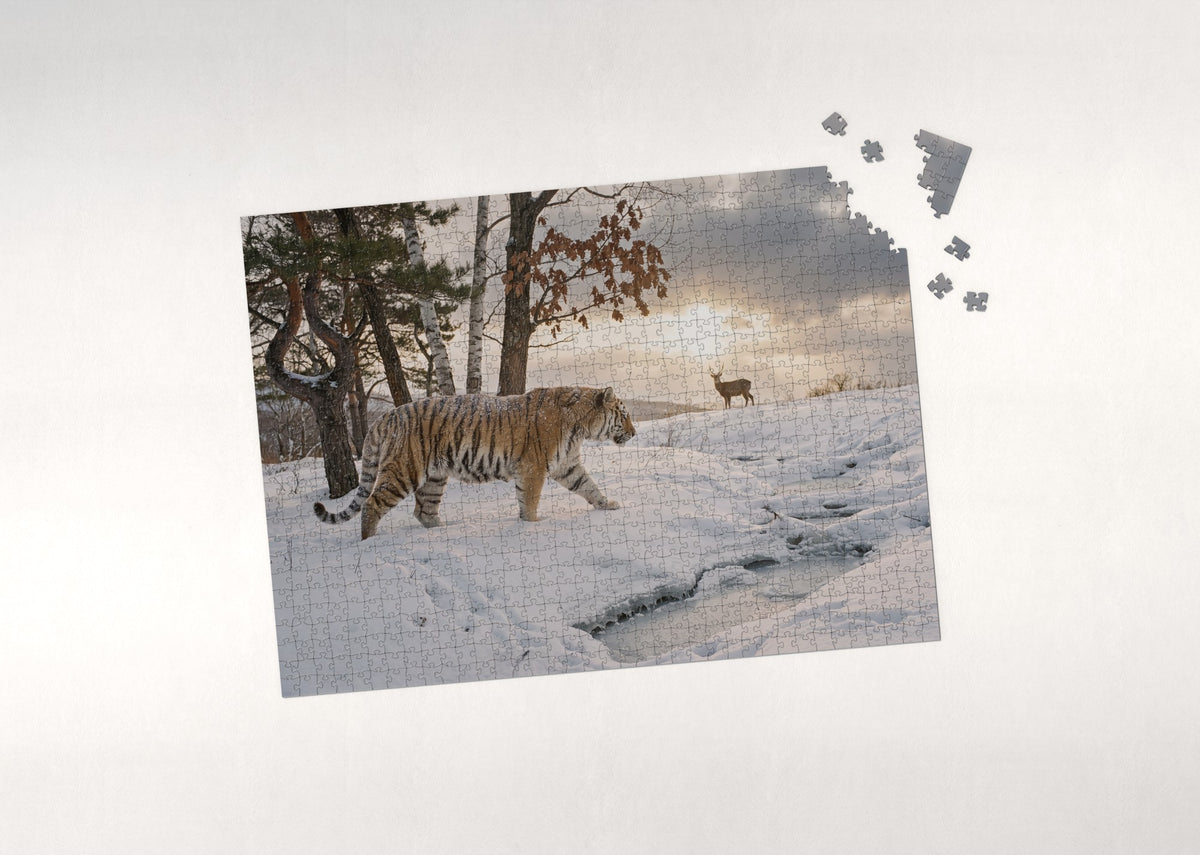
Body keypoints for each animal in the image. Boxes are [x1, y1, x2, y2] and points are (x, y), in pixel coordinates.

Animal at [313, 386, 636, 539]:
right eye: (624, 415)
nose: (634, 433)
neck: (580, 426)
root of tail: (386, 416)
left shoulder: (566, 465)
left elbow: (589, 486)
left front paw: (608, 504)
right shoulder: (533, 468)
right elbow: (530, 502)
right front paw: (532, 525)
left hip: (434, 478)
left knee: (423, 511)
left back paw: (442, 530)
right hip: (404, 471)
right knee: (372, 504)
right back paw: (369, 541)